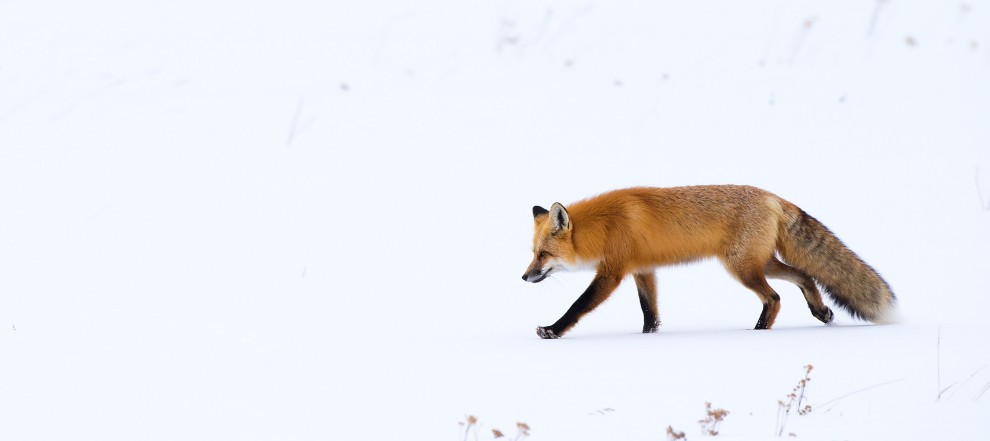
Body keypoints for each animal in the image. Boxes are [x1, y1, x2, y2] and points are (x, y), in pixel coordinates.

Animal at [522, 185, 897, 339]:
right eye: (532, 253)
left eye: (543, 255)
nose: (524, 277)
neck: (604, 226)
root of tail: (773, 196)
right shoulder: (643, 270)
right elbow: (650, 312)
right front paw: (647, 338)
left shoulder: (613, 272)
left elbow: (578, 305)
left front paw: (552, 331)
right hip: (759, 263)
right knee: (804, 276)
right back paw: (821, 312)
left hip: (742, 268)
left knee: (774, 297)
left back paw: (758, 333)